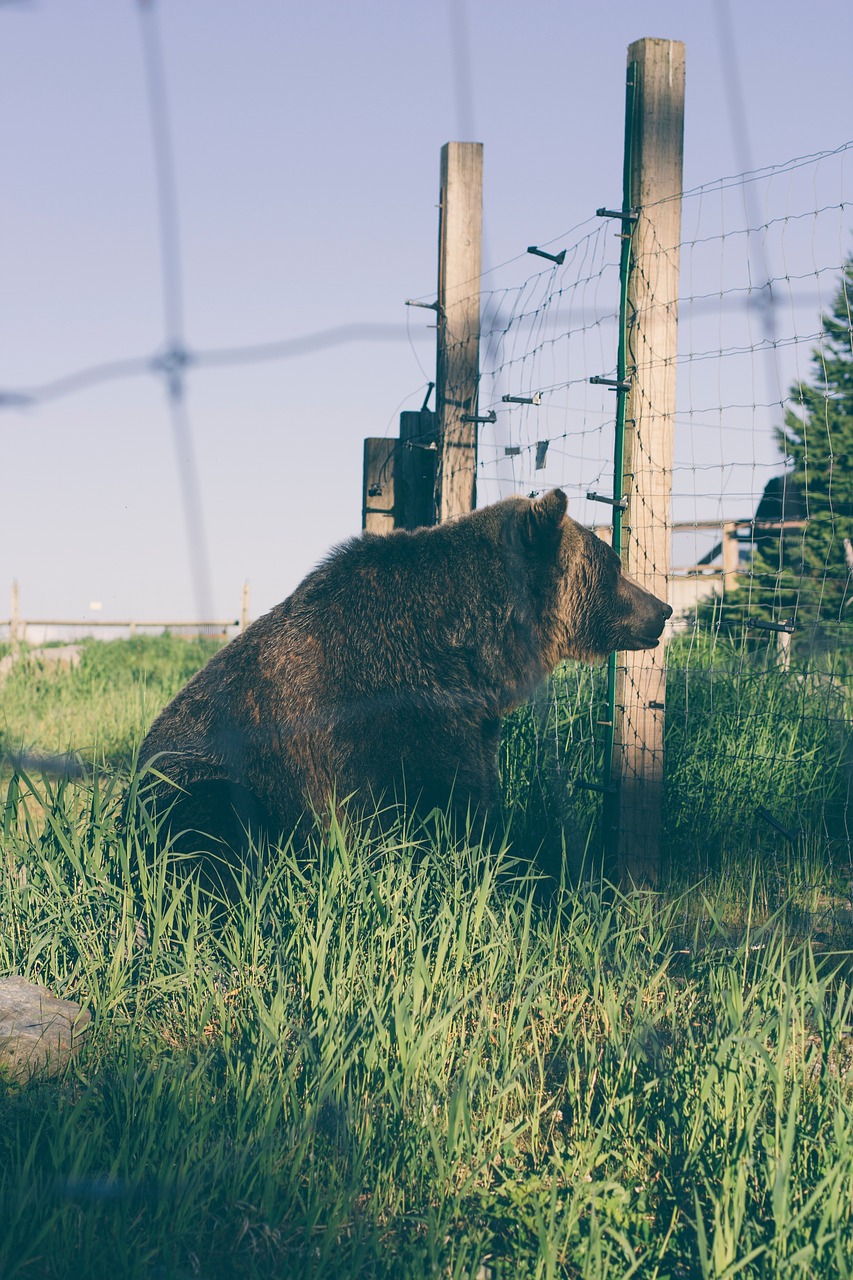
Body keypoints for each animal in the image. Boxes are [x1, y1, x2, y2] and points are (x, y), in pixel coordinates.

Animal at [136, 494, 671, 855]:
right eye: (614, 567)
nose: (662, 609)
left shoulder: (470, 718)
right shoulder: (389, 712)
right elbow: (436, 800)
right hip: (203, 781)